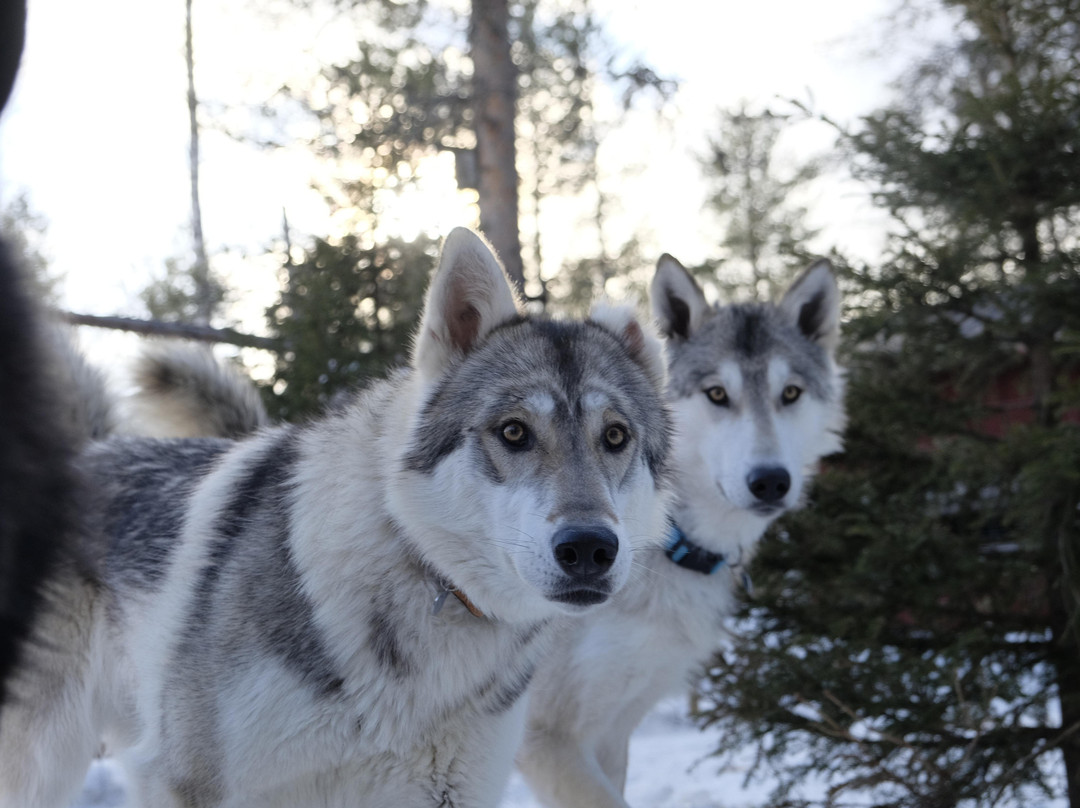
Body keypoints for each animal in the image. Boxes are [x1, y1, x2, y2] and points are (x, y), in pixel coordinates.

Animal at [0, 226, 669, 808]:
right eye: (513, 432)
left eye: (615, 437)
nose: (589, 548)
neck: (420, 580)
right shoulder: (187, 783)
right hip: (40, 761)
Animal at [514, 253, 842, 808]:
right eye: (717, 394)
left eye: (790, 394)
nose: (770, 481)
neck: (663, 543)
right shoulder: (544, 739)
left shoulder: (610, 730)